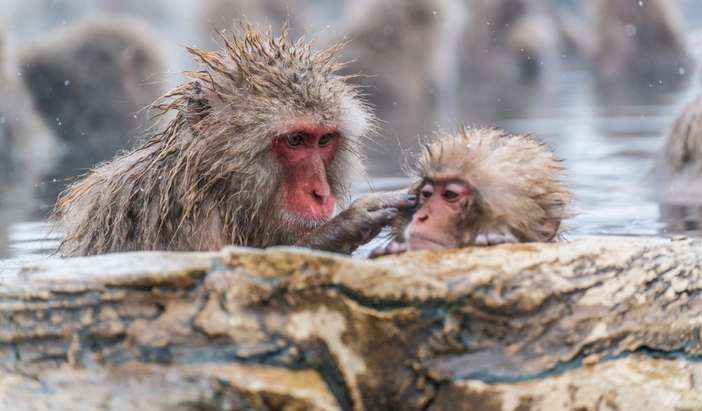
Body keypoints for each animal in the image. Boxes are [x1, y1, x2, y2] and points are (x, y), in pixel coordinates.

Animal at [56, 24, 418, 256]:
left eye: (323, 140)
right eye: (295, 140)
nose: (320, 193)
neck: (214, 184)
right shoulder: (177, 215)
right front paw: (346, 226)